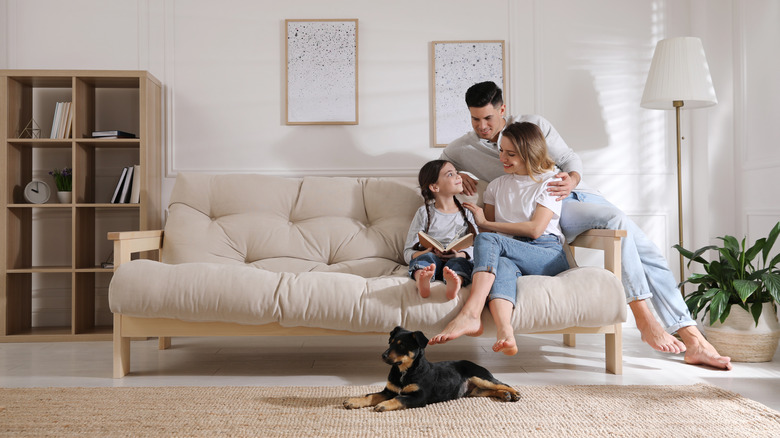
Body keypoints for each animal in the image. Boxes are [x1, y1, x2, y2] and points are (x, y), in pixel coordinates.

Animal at [344, 326, 520, 412]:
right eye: (390, 342)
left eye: (402, 346)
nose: (383, 355)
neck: (404, 371)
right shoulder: (389, 390)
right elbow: (370, 395)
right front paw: (353, 401)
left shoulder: (419, 396)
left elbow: (399, 398)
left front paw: (384, 405)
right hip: (474, 390)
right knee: (490, 390)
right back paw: (504, 395)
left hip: (480, 377)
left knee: (501, 383)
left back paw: (514, 393)